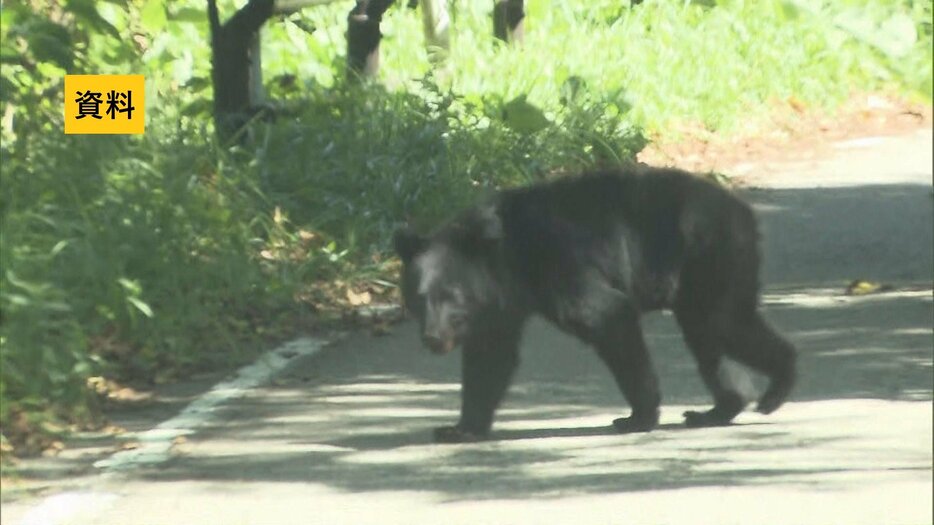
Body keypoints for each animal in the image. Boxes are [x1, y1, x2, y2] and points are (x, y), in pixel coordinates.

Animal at [394, 165, 796, 442]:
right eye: (418, 298)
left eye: (451, 296)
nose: (433, 338)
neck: (507, 256)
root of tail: (743, 211)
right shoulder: (499, 304)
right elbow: (490, 357)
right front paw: (460, 428)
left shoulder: (559, 262)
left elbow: (605, 314)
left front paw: (637, 417)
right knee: (708, 338)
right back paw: (717, 408)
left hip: (710, 256)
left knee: (724, 323)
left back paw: (777, 386)